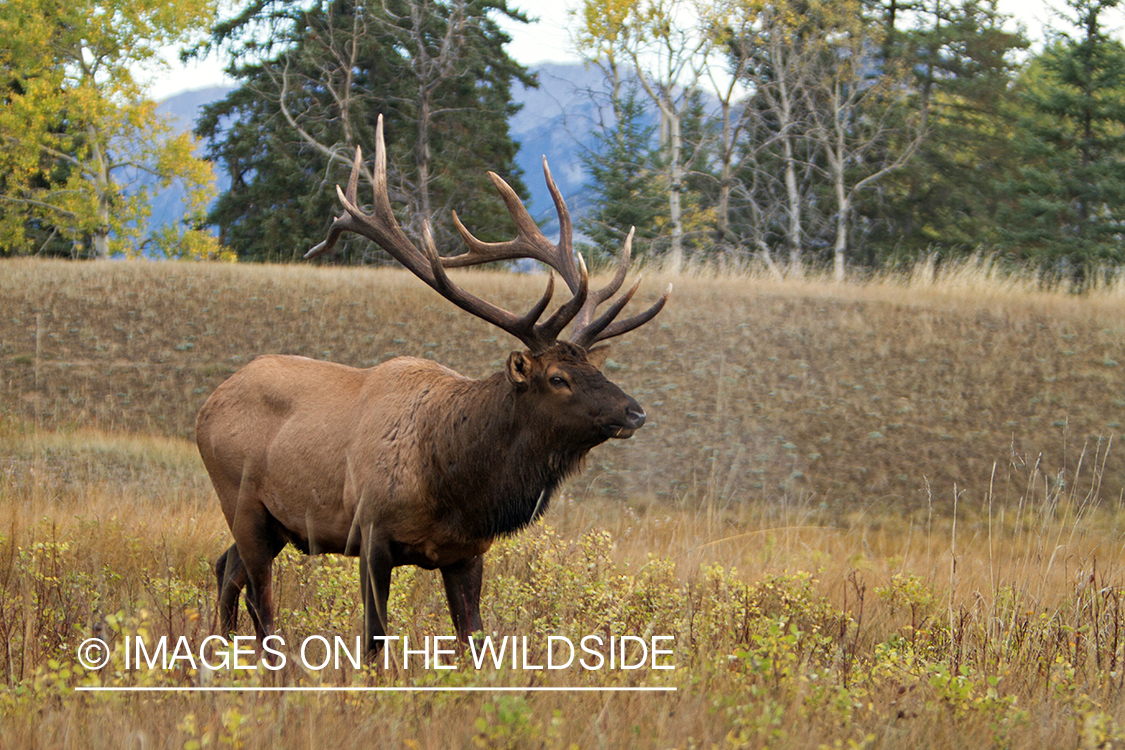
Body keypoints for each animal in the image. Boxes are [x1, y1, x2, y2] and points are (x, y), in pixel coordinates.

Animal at [194, 114, 670, 652]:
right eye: (558, 378)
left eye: (598, 368)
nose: (635, 411)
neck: (455, 484)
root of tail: (207, 405)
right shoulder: (372, 532)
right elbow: (375, 638)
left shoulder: (467, 552)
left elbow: (473, 638)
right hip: (239, 499)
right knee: (261, 595)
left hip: (274, 523)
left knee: (225, 567)